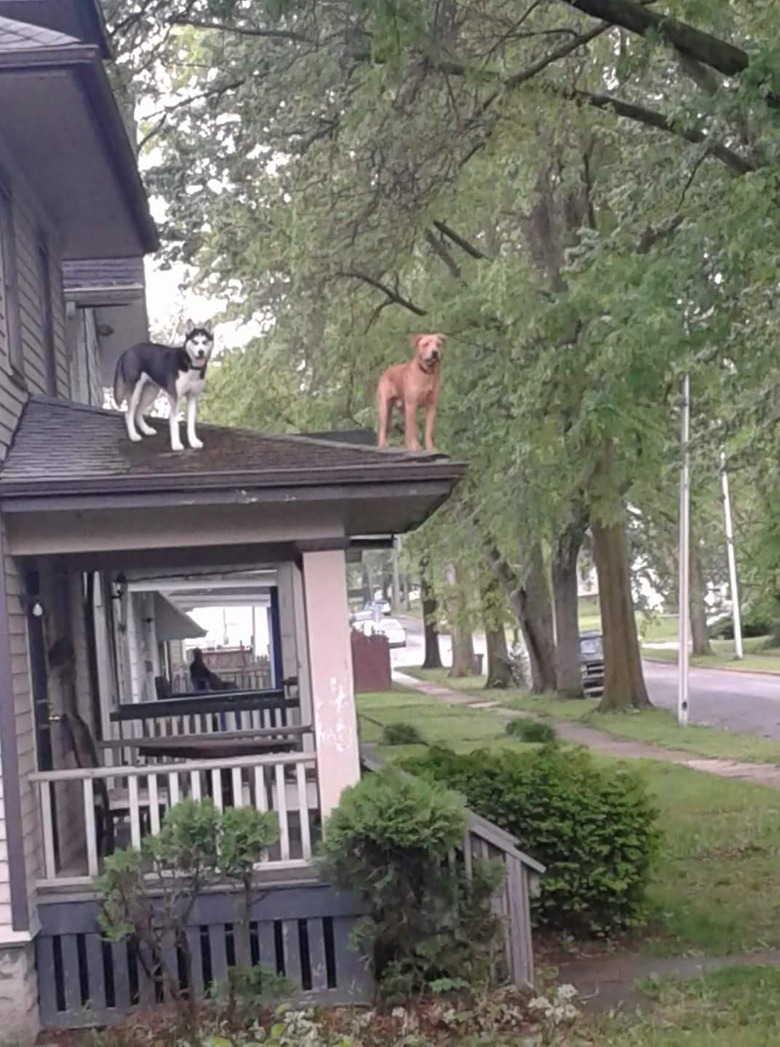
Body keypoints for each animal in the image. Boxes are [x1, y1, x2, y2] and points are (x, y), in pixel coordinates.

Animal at [112, 318, 212, 450]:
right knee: (128, 414)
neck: (190, 365)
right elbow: (174, 423)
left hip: (151, 392)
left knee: (138, 412)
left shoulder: (192, 398)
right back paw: (133, 435)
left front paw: (193, 441)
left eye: (205, 342)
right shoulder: (175, 398)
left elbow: (191, 424)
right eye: (195, 342)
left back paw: (146, 430)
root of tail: (127, 351)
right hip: (135, 392)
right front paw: (176, 444)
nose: (201, 352)